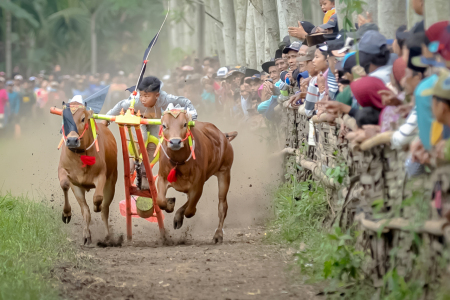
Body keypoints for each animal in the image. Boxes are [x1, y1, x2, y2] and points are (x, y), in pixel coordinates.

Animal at [57, 104, 118, 245]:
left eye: (83, 119)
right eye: (64, 119)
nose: (72, 140)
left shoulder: (102, 177)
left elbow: (98, 199)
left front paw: (96, 206)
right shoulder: (72, 180)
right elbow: (65, 186)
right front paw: (67, 215)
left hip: (112, 182)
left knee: (104, 210)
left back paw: (107, 236)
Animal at [156, 109, 237, 244]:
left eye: (184, 124)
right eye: (164, 125)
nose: (175, 142)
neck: (179, 162)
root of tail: (223, 136)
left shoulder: (198, 185)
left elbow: (190, 211)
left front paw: (180, 213)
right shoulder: (162, 178)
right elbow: (161, 202)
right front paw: (170, 204)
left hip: (224, 172)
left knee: (222, 206)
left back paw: (218, 235)